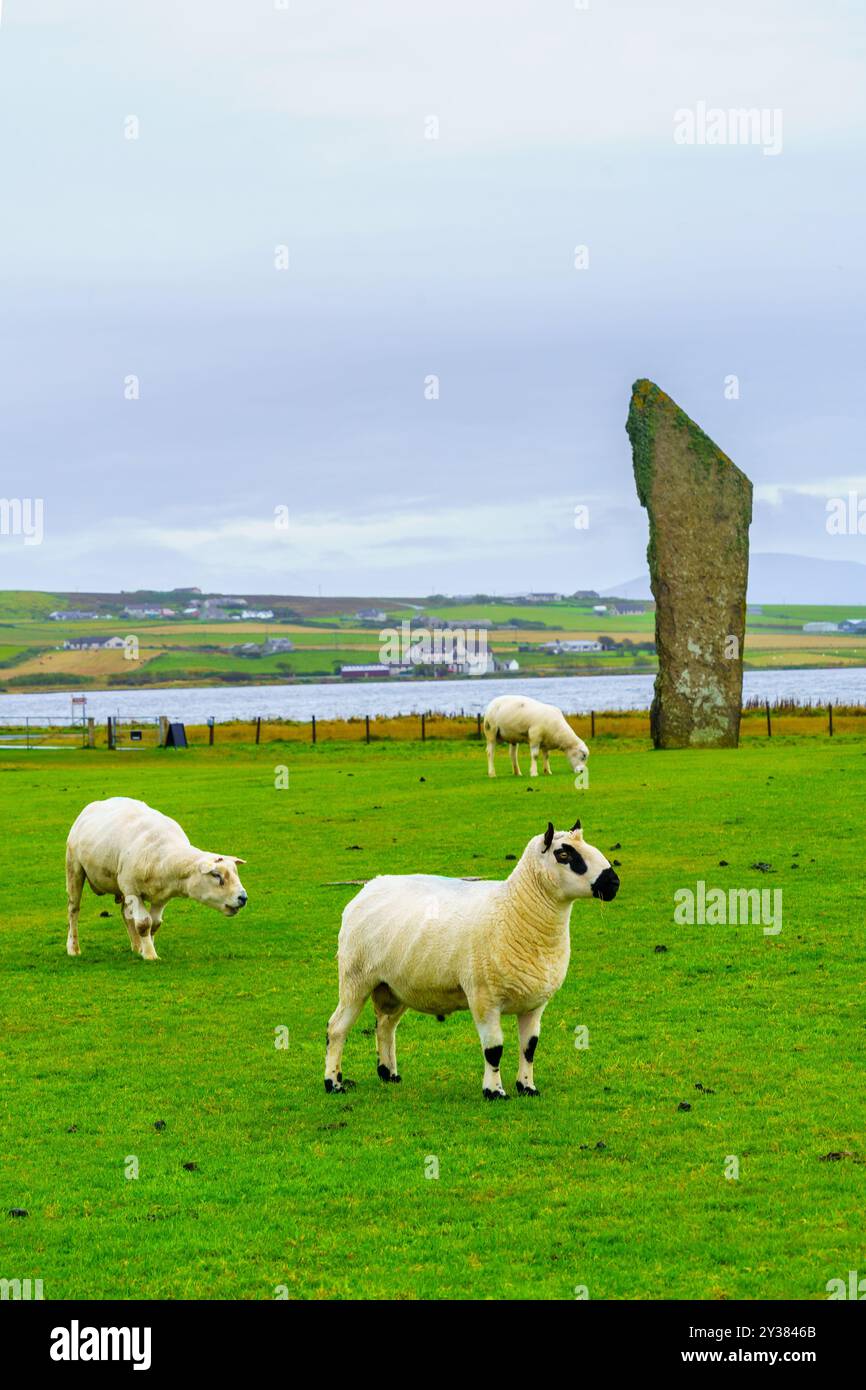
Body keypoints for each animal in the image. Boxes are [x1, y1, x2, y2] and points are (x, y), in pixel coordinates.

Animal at [66, 800, 248, 961]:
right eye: (216, 875)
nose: (243, 898)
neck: (164, 860)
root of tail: (95, 804)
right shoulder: (132, 890)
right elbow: (144, 924)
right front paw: (150, 955)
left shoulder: (162, 897)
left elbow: (154, 924)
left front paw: (146, 949)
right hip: (74, 867)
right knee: (74, 909)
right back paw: (73, 948)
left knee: (126, 913)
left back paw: (136, 946)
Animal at [323, 817, 617, 1100]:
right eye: (563, 854)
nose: (613, 882)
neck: (516, 909)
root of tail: (370, 886)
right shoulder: (483, 997)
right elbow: (494, 1050)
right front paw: (494, 1092)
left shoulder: (535, 1003)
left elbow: (529, 1048)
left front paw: (527, 1087)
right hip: (355, 977)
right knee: (337, 1028)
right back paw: (334, 1083)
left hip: (393, 986)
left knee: (385, 1026)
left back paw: (389, 1075)